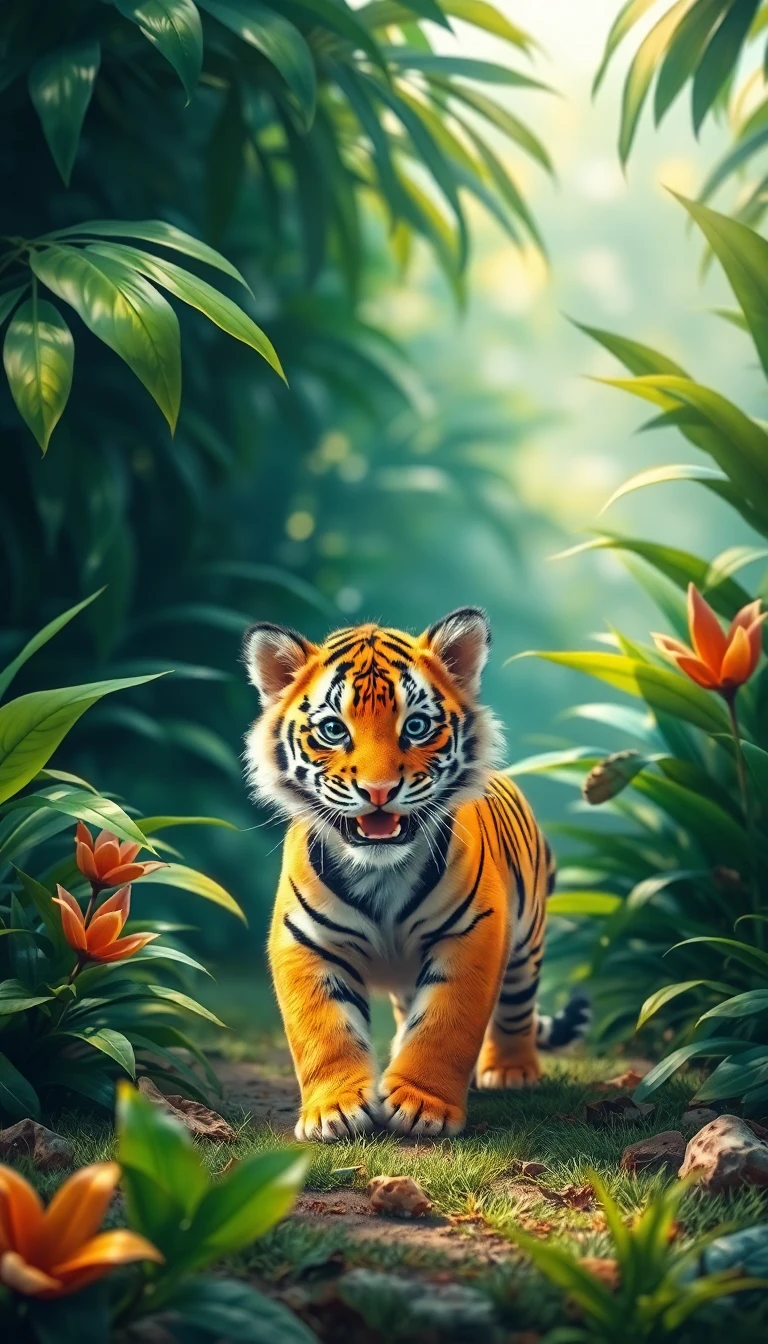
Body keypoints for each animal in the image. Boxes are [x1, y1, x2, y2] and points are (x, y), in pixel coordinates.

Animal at [242, 607, 588, 1142]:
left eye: (417, 726)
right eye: (334, 730)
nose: (379, 791)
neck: (380, 872)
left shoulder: (473, 932)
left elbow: (444, 1024)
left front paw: (422, 1106)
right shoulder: (305, 941)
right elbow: (324, 1031)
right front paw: (334, 1110)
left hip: (526, 945)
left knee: (515, 1010)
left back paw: (510, 1070)